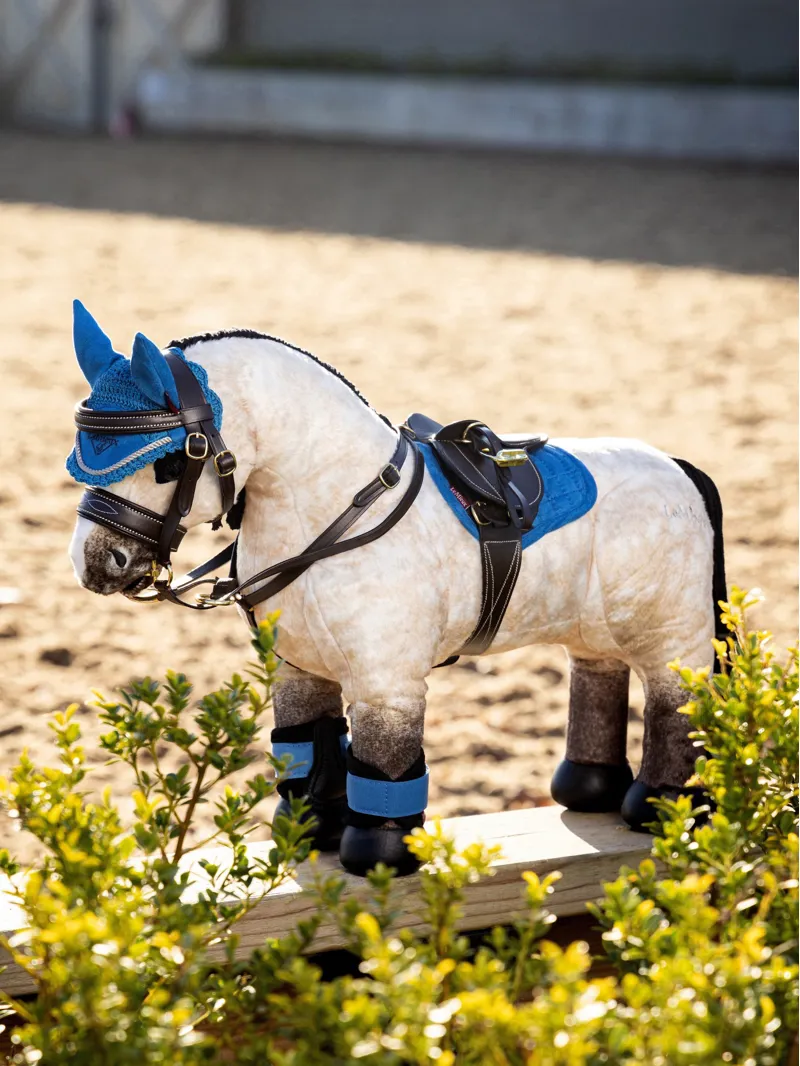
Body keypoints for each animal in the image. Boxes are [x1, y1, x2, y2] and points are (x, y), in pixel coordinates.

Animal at [67, 301, 726, 876]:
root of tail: (677, 465)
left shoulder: (387, 685)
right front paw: (311, 831)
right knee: (598, 673)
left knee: (674, 702)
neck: (335, 508)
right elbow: (310, 748)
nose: (95, 563)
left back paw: (664, 805)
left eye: (169, 462)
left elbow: (384, 765)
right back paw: (588, 789)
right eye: (80, 456)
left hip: (673, 637)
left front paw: (378, 857)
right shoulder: (298, 670)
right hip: (596, 628)